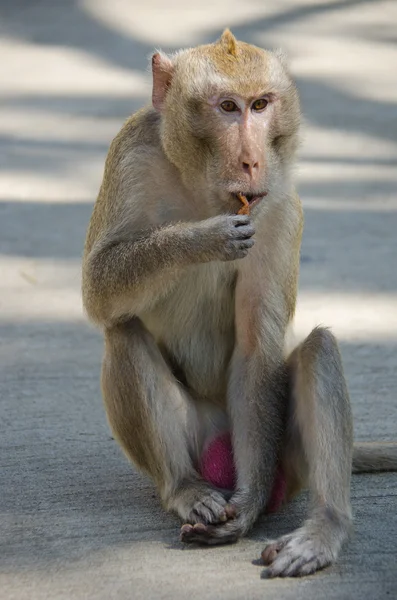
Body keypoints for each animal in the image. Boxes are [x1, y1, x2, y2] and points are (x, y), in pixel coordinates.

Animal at [81, 30, 396, 580]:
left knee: (318, 350)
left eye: (260, 105)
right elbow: (98, 289)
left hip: (283, 460)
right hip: (198, 435)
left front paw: (248, 506)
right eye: (227, 107)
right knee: (122, 332)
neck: (203, 189)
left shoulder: (279, 203)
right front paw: (198, 240)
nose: (251, 161)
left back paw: (321, 528)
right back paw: (186, 489)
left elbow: (255, 345)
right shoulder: (131, 152)